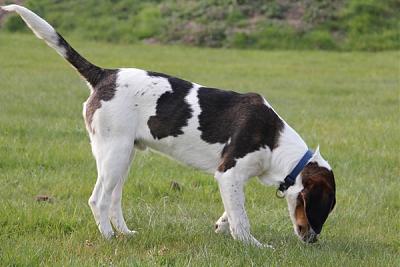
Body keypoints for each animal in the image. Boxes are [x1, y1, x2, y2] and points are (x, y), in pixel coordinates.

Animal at [1, 4, 336, 247]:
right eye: (321, 207)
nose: (312, 241)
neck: (279, 147)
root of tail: (104, 74)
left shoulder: (232, 180)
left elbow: (232, 211)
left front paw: (223, 226)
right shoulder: (229, 173)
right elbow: (242, 220)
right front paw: (253, 246)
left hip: (123, 157)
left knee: (113, 200)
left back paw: (124, 233)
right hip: (114, 154)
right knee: (98, 200)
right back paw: (109, 238)